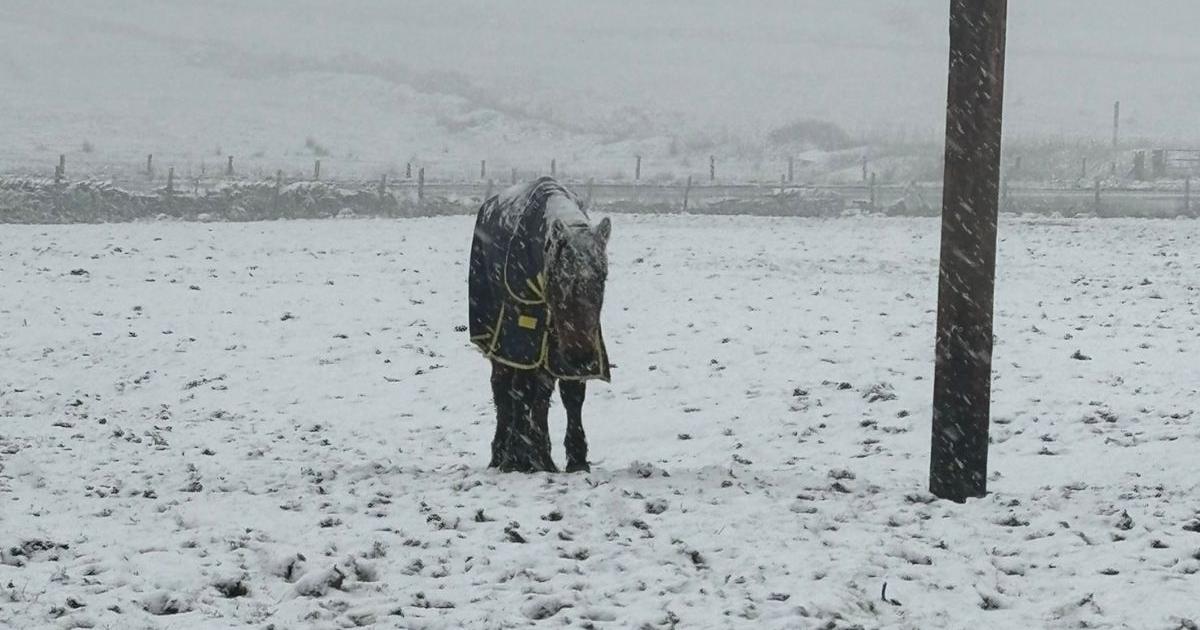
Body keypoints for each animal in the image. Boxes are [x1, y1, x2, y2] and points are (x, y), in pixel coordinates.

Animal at [468, 177, 611, 473]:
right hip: (502, 340)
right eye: (559, 278)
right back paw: (502, 455)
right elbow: (520, 391)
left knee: (541, 395)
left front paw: (576, 460)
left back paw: (541, 455)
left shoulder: (564, 342)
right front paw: (517, 460)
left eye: (602, 276)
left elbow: (571, 394)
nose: (580, 355)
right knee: (503, 389)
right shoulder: (521, 337)